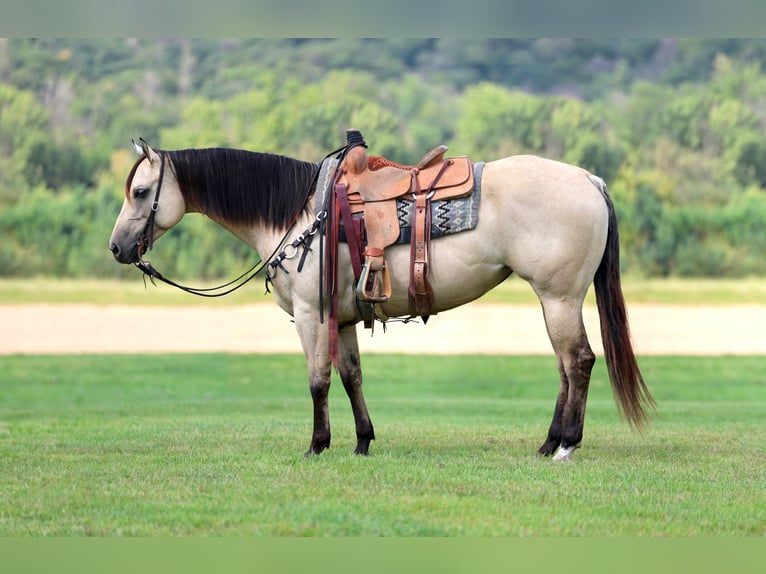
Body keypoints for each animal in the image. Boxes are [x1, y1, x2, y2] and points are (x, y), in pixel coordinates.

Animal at [109, 138, 655, 462]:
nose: (116, 248)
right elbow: (351, 376)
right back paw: (548, 443)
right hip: (554, 301)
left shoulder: (311, 315)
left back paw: (567, 445)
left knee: (578, 362)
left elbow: (318, 380)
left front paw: (317, 445)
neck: (301, 214)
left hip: (559, 297)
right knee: (565, 366)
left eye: (141, 191)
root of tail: (588, 179)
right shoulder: (345, 319)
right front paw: (363, 441)